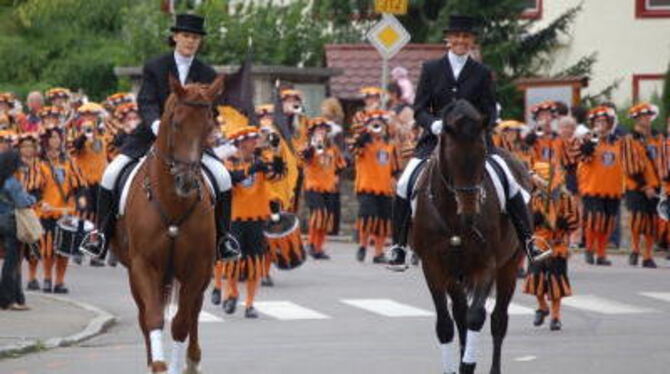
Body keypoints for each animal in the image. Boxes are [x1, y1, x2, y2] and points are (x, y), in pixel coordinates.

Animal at [111, 76, 224, 374]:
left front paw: (177, 364)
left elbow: (182, 323)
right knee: (144, 315)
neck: (172, 203)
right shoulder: (143, 265)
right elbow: (152, 318)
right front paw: (158, 364)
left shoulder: (197, 268)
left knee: (193, 310)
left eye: (209, 125)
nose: (186, 181)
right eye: (175, 123)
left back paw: (193, 360)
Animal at [412, 99, 532, 374]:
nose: (469, 214)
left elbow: (476, 316)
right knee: (459, 313)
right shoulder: (433, 267)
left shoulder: (486, 265)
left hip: (509, 266)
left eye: (481, 156)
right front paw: (453, 367)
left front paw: (468, 364)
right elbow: (445, 324)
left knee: (498, 319)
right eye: (451, 157)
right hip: (455, 274)